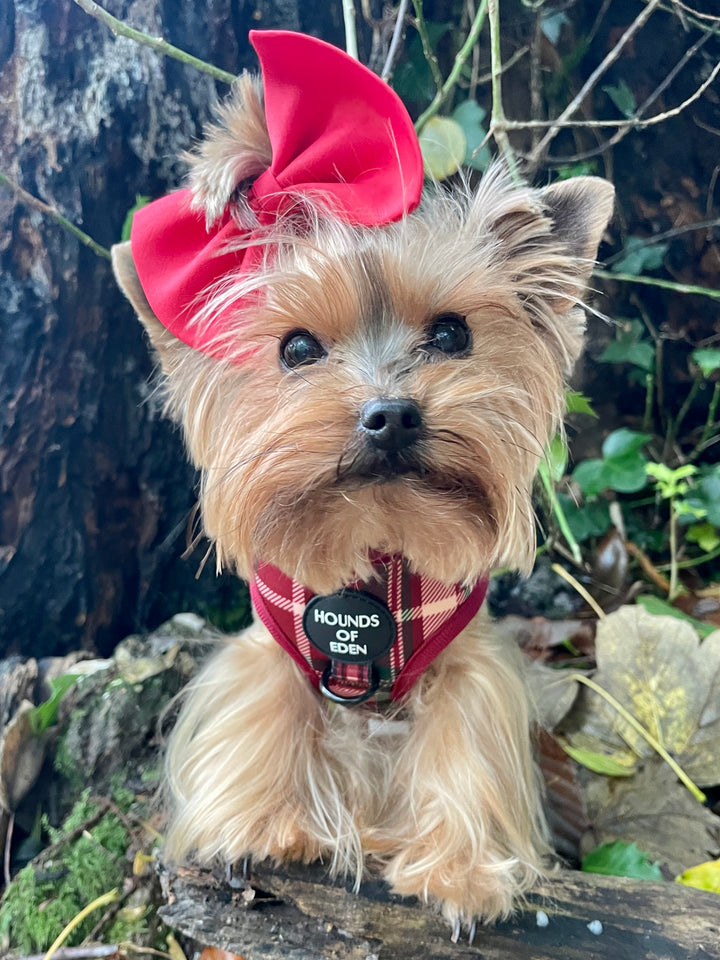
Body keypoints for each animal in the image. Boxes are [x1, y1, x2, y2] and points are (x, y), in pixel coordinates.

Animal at [112, 28, 612, 928]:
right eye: (297, 348)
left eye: (450, 334)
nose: (391, 414)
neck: (378, 541)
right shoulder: (269, 653)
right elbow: (270, 712)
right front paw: (269, 822)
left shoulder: (471, 667)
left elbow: (460, 739)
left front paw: (459, 870)